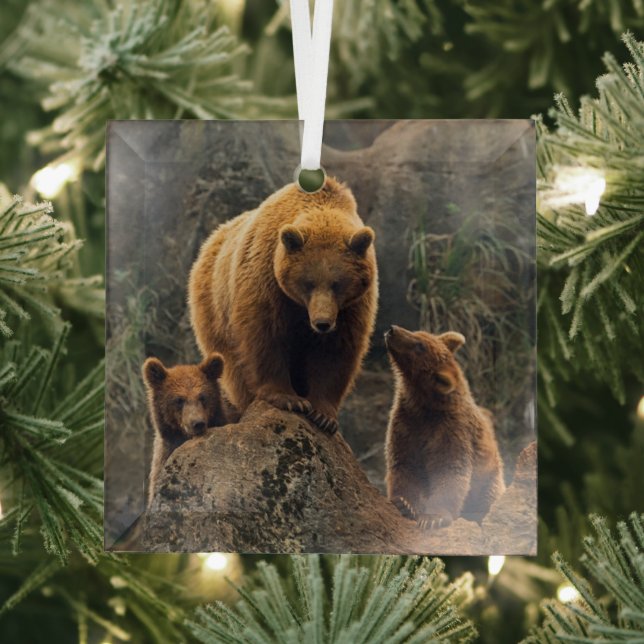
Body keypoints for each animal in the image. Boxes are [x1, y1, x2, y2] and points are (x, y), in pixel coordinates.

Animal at [188, 177, 378, 435]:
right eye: (308, 283)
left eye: (337, 284)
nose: (322, 323)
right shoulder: (266, 280)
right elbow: (265, 336)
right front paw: (289, 399)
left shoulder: (352, 307)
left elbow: (336, 351)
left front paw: (323, 414)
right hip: (214, 309)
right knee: (233, 366)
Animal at [384, 325, 505, 529]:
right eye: (419, 333)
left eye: (420, 345)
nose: (393, 330)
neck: (424, 406)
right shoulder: (405, 424)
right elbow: (403, 463)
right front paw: (404, 503)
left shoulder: (451, 429)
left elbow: (450, 469)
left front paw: (433, 518)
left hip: (489, 479)